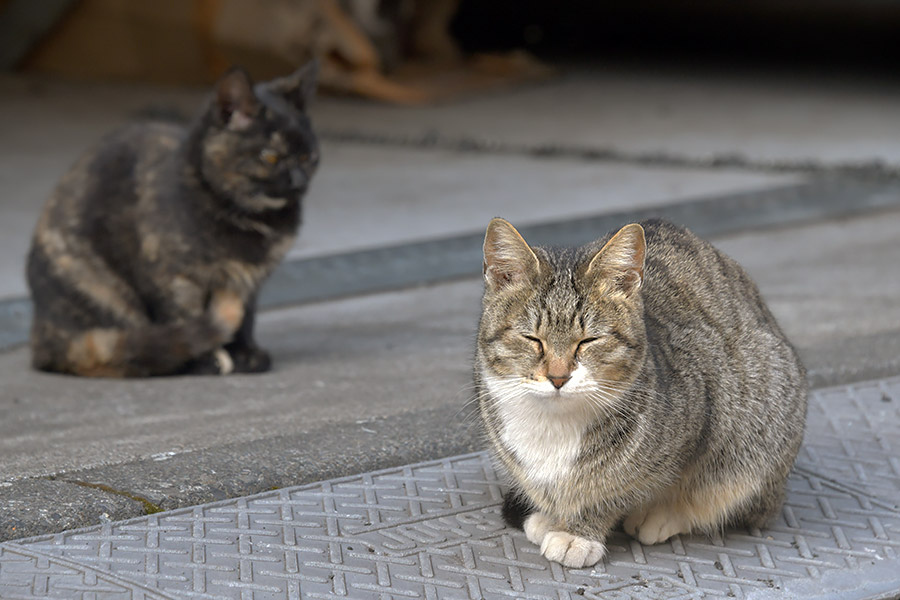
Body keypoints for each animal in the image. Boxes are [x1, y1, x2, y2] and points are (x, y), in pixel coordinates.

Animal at [26, 63, 320, 378]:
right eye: (270, 157)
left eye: (308, 156)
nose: (299, 181)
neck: (249, 219)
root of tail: (42, 331)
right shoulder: (172, 278)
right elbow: (185, 317)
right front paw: (204, 360)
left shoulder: (251, 282)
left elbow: (245, 320)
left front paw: (245, 354)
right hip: (100, 288)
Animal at [474, 217, 804, 568]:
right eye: (532, 339)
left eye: (588, 341)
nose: (558, 377)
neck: (553, 426)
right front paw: (552, 516)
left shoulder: (702, 415)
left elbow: (613, 489)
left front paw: (578, 531)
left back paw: (662, 516)